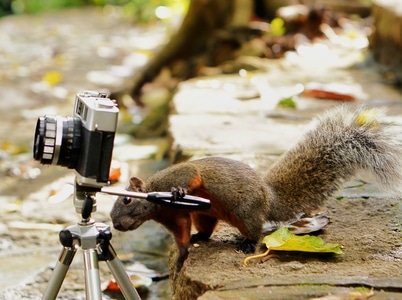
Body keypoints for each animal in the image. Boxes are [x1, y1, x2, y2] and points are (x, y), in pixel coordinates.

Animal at [109, 106, 402, 270]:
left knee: (257, 232)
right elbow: (181, 235)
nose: (116, 225)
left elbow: (191, 175)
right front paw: (181, 255)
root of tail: (267, 198)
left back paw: (248, 244)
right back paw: (200, 237)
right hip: (205, 214)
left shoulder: (179, 177)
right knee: (207, 229)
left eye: (126, 201)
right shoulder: (176, 217)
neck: (157, 206)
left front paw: (180, 191)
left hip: (245, 213)